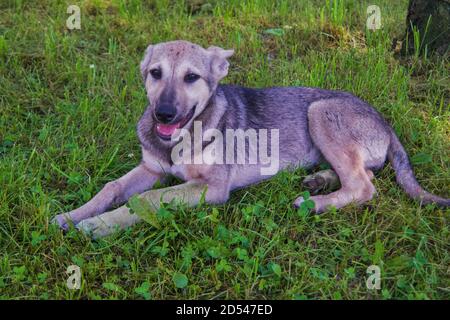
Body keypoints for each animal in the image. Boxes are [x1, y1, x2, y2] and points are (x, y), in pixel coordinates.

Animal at [53, 40, 450, 238]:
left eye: (191, 77)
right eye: (155, 73)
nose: (163, 115)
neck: (182, 138)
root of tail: (386, 124)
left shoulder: (210, 188)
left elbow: (146, 200)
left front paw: (98, 226)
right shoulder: (151, 169)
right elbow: (111, 189)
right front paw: (73, 215)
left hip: (320, 111)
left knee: (365, 187)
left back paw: (313, 204)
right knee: (361, 174)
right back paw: (319, 181)